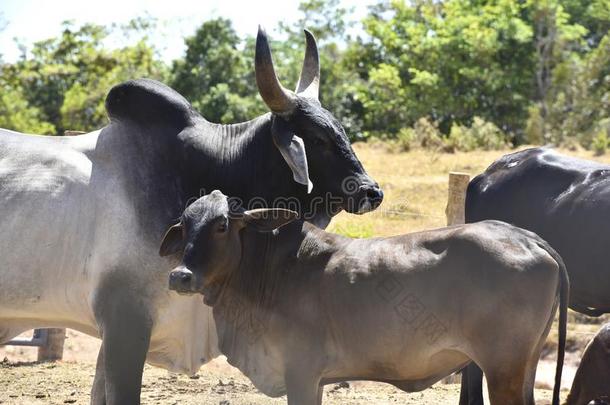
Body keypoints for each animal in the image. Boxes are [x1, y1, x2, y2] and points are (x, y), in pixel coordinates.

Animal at [160, 191, 564, 404]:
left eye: (222, 225)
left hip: (502, 367)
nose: (180, 276)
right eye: (183, 225)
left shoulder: (301, 372)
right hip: (524, 366)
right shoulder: (315, 379)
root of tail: (528, 237)